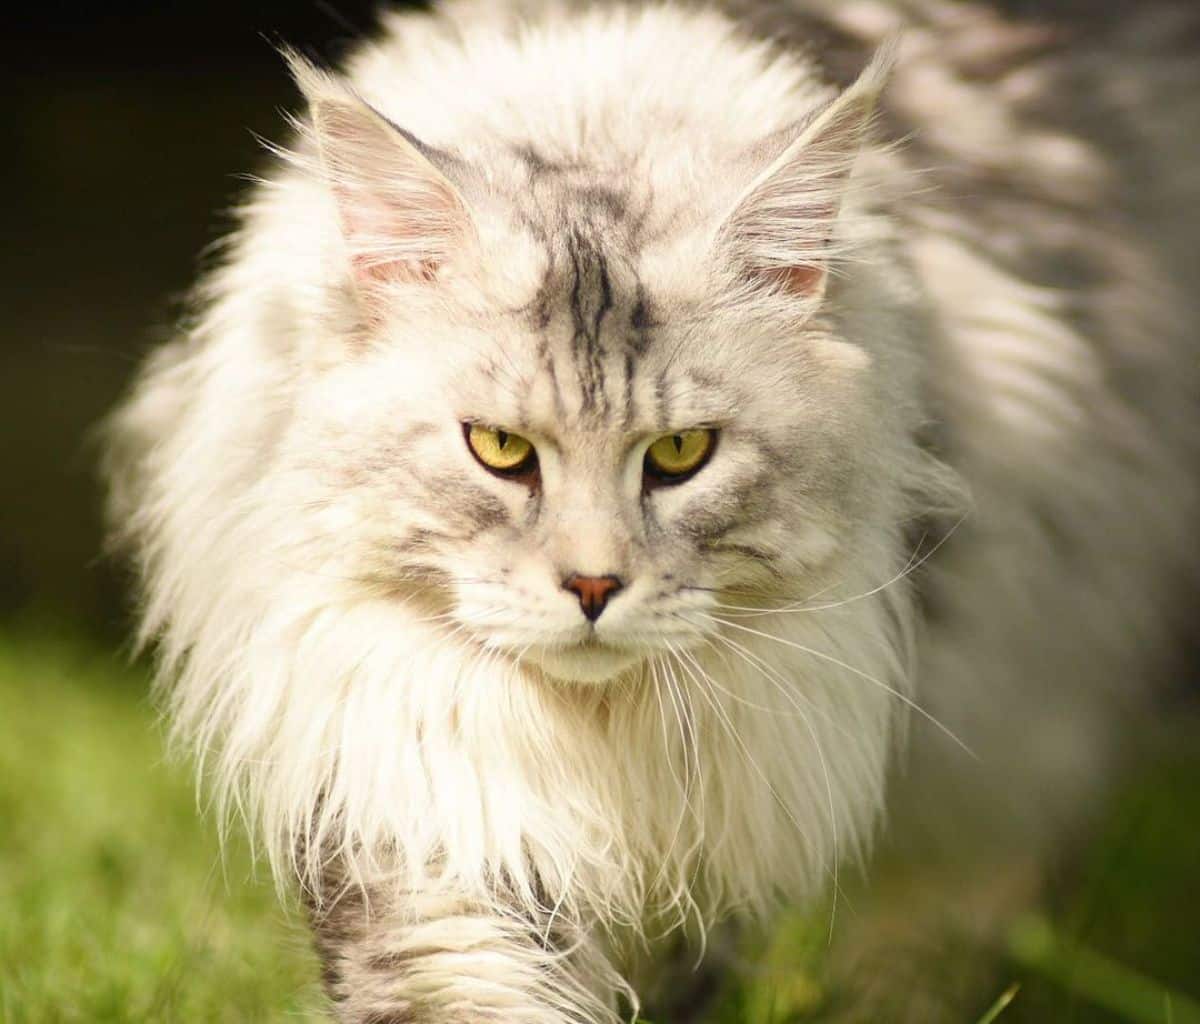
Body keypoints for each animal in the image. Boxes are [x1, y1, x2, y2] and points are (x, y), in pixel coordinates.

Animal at [103, 1, 1200, 1022]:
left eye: (680, 455)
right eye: (498, 450)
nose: (593, 586)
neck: (592, 750)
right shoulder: (415, 798)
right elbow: (464, 980)